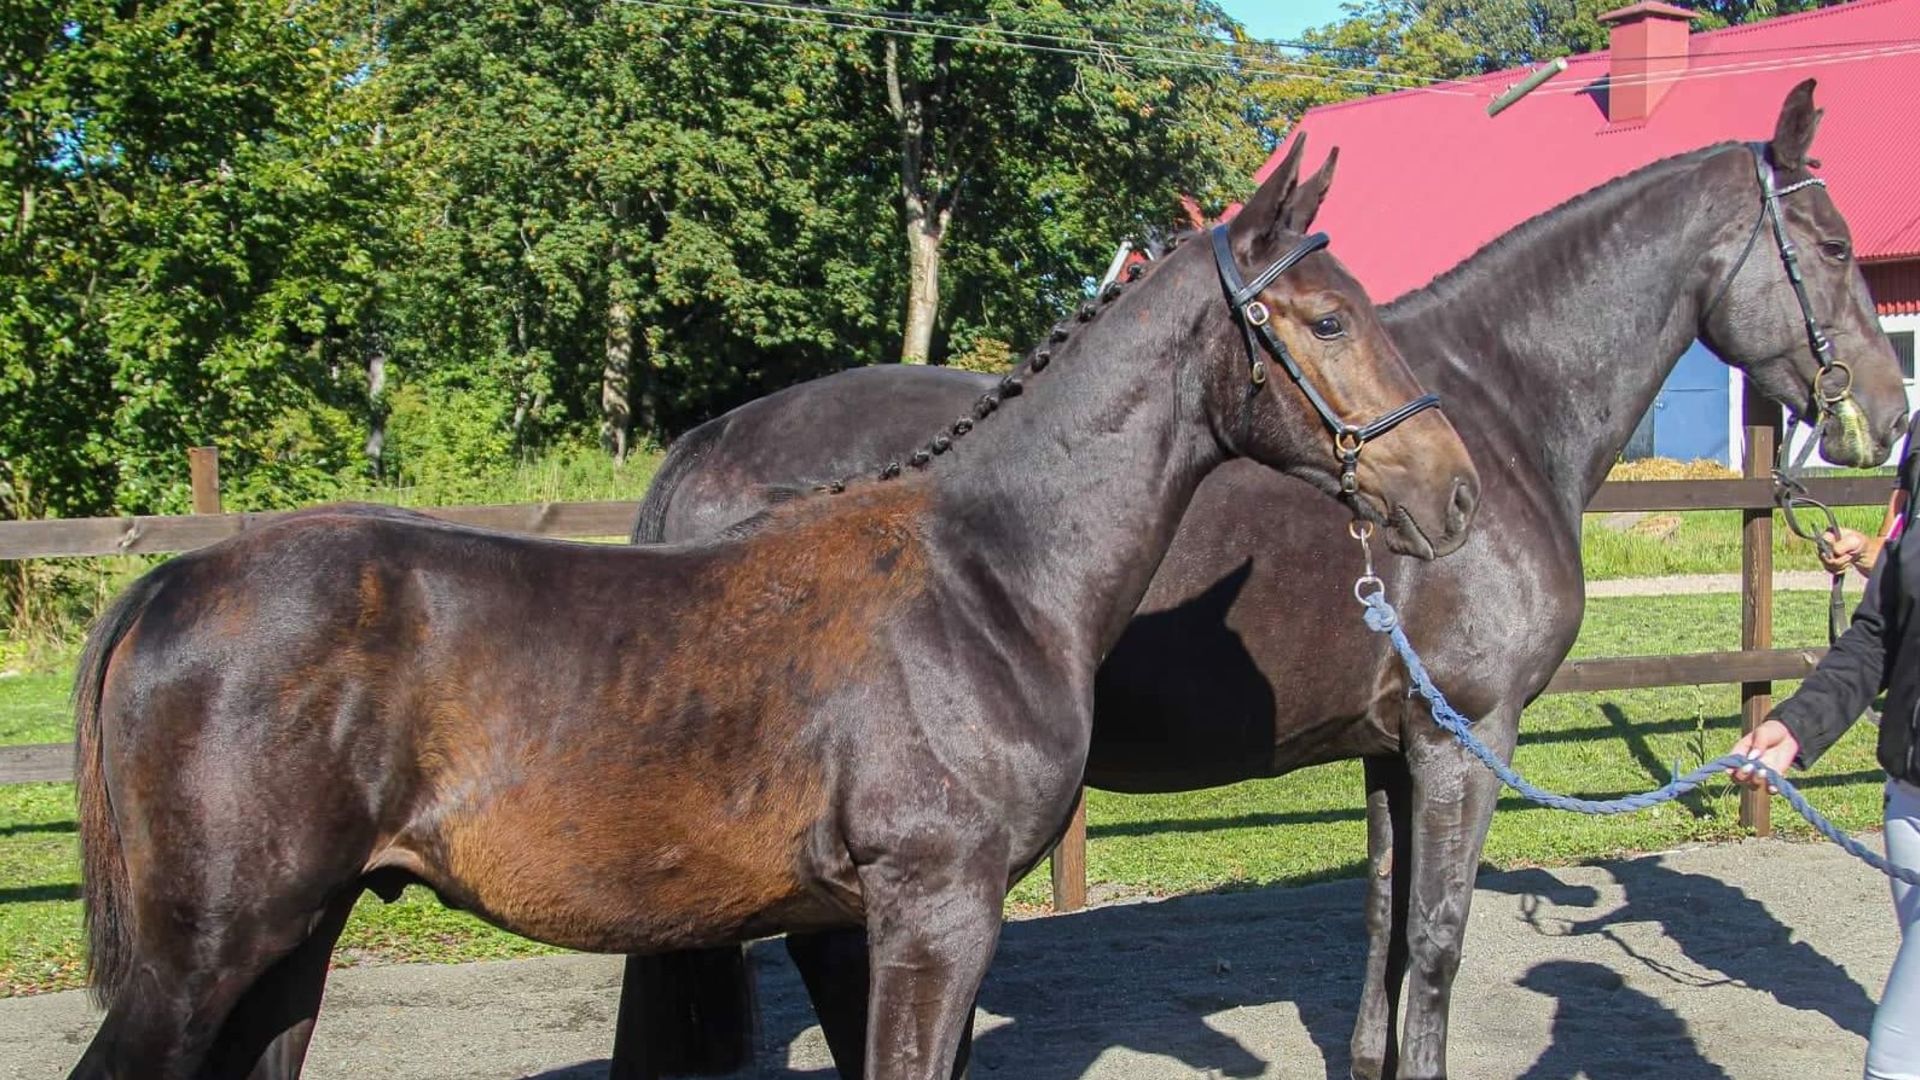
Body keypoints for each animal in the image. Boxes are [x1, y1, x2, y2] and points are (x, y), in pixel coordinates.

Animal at [56, 145, 1466, 1076]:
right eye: (1328, 319)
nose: (1449, 493)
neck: (992, 576)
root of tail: (166, 586)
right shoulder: (934, 910)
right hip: (204, 957)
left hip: (294, 942)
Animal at [614, 84, 1904, 1076]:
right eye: (1837, 249)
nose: (1890, 418)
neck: (1506, 409)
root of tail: (709, 444)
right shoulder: (1468, 739)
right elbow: (1439, 941)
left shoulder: (1397, 746)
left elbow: (1385, 928)